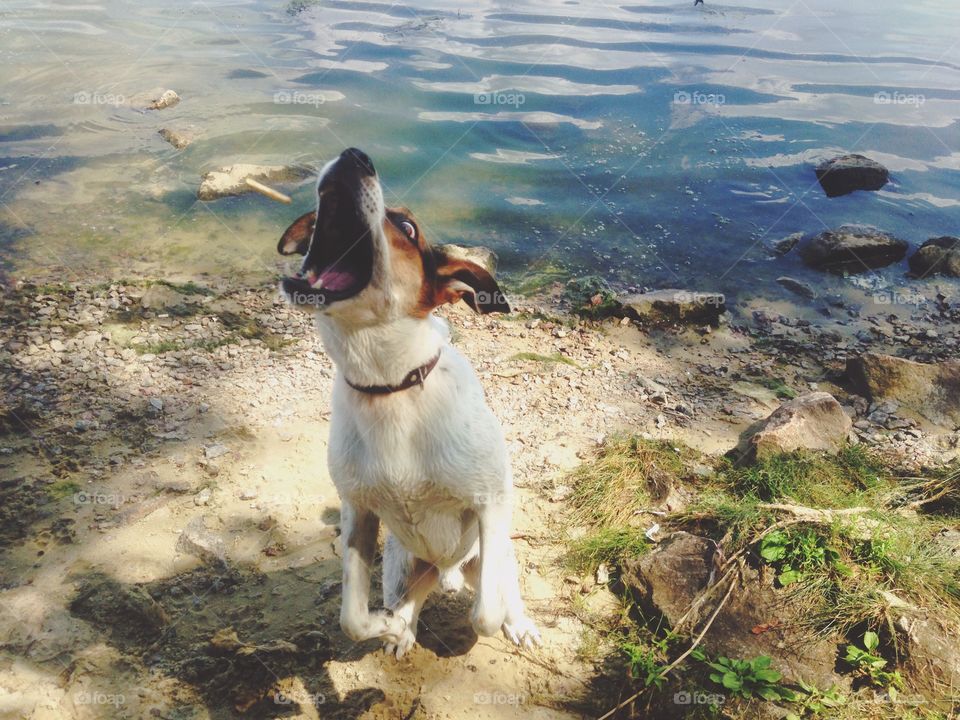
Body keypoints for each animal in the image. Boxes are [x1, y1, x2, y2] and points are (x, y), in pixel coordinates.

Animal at [276, 148, 540, 660]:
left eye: (407, 227)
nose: (354, 155)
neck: (391, 388)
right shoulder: (358, 512)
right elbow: (353, 619)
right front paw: (390, 625)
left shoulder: (491, 504)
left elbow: (485, 614)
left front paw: (495, 620)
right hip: (402, 560)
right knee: (414, 588)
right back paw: (403, 626)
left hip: (492, 556)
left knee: (500, 593)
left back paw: (517, 623)